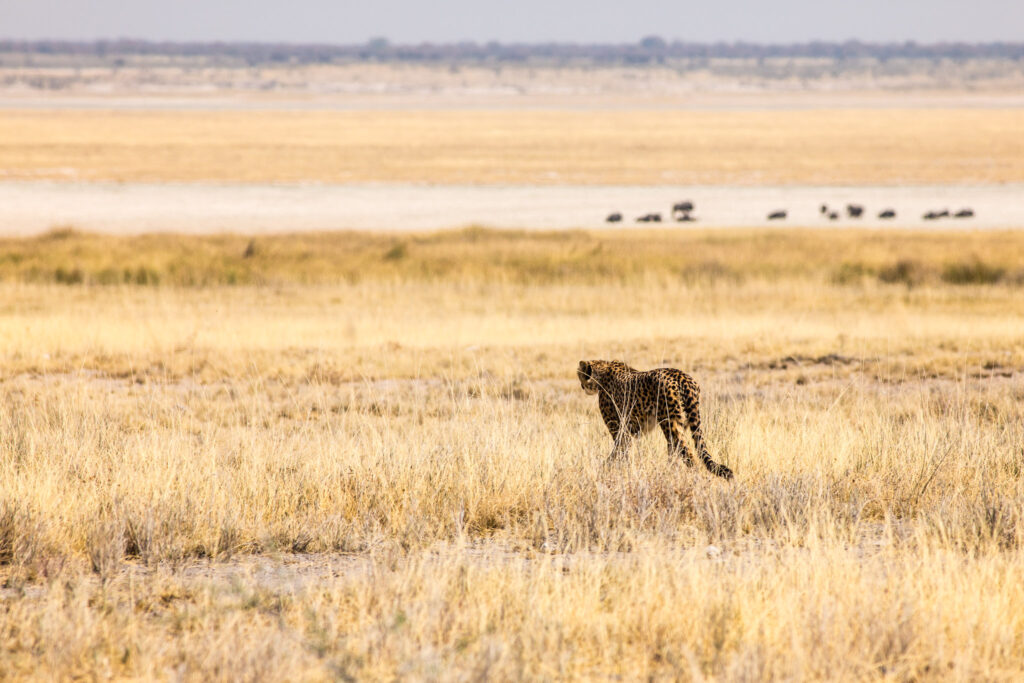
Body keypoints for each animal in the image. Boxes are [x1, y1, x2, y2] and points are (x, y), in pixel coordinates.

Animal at [577, 358, 737, 481]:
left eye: (580, 375)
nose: (581, 387)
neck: (602, 371)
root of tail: (682, 377)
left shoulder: (618, 429)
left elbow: (620, 451)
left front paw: (610, 469)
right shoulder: (630, 430)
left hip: (670, 423)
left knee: (689, 455)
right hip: (683, 423)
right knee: (675, 452)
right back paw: (669, 473)